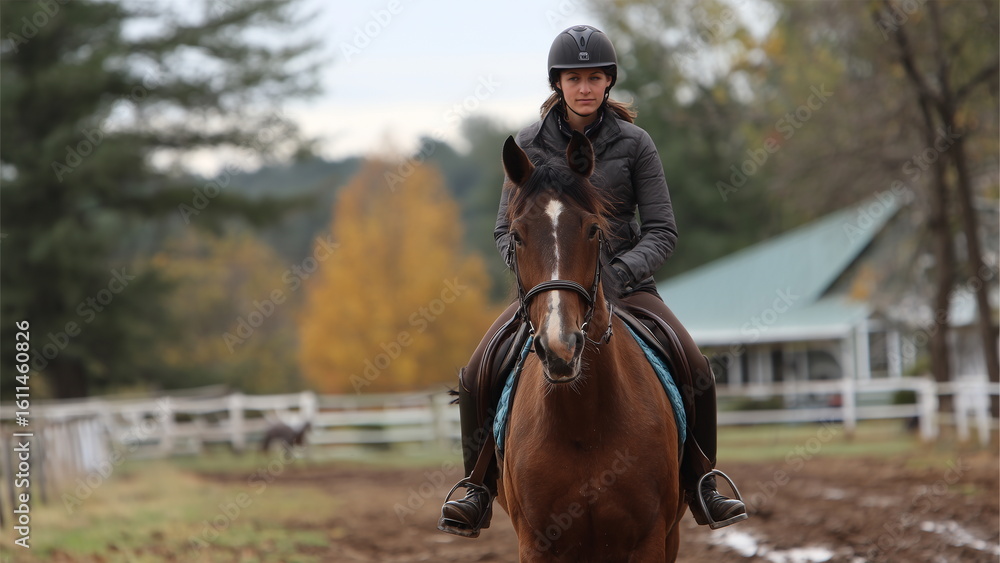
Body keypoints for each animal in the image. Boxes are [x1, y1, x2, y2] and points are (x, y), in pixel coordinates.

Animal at [494, 131, 685, 562]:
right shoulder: (536, 544)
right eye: (516, 235)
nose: (560, 347)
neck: (583, 420)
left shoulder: (650, 539)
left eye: (594, 230)